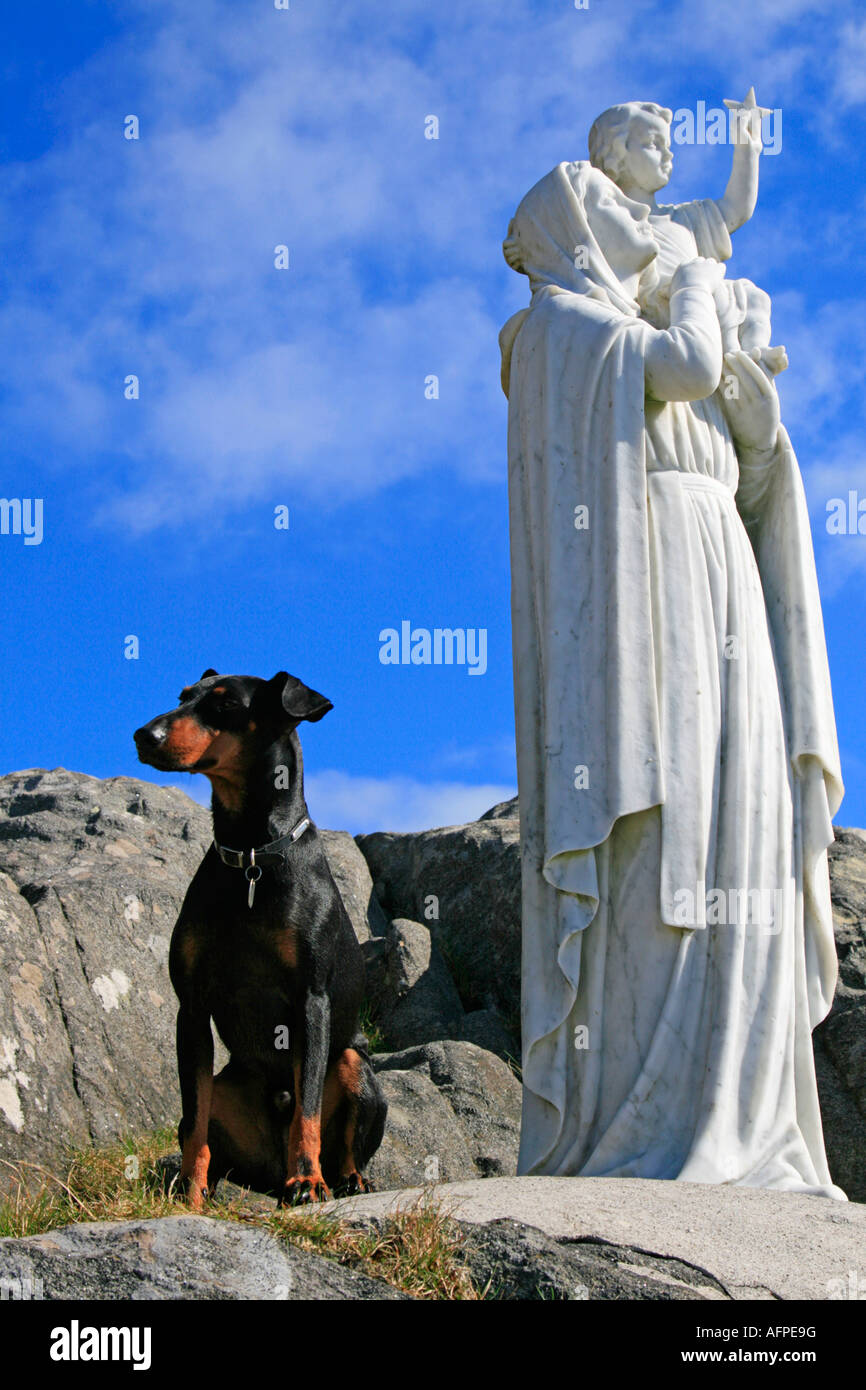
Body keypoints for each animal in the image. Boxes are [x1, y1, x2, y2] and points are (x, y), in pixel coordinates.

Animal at [132, 669, 386, 1206]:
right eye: (181, 697)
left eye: (225, 705)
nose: (144, 735)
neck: (251, 855)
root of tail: (268, 1173)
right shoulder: (192, 1006)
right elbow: (194, 1118)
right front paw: (190, 1191)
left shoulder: (310, 1000)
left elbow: (307, 1109)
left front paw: (307, 1181)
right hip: (227, 1086)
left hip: (355, 1064)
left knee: (344, 1143)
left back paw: (342, 1178)